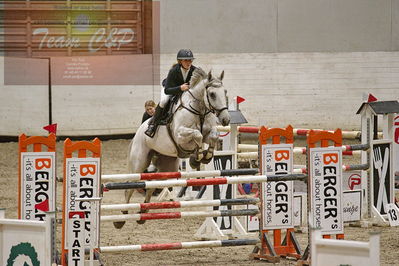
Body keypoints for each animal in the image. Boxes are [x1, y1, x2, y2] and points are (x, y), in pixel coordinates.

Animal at [114, 67, 230, 228]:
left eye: (224, 92)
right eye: (212, 94)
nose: (226, 120)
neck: (199, 109)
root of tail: (138, 132)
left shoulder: (209, 132)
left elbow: (212, 136)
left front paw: (205, 156)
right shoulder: (180, 135)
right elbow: (197, 135)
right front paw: (197, 157)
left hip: (167, 166)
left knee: (151, 185)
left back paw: (143, 214)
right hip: (139, 163)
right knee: (130, 187)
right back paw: (121, 218)